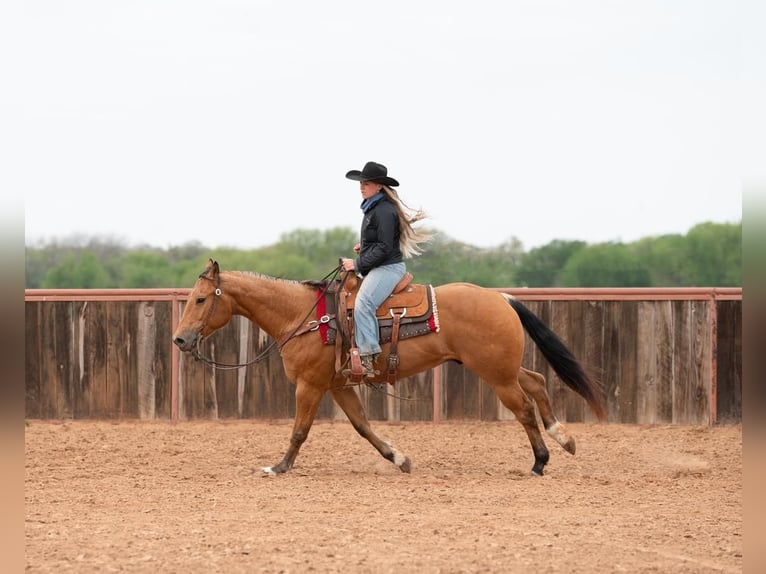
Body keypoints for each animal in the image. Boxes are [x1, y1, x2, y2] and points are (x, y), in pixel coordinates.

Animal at [172, 259, 606, 477]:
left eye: (199, 299)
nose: (180, 340)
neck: (304, 316)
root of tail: (500, 297)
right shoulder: (339, 385)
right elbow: (363, 427)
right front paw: (399, 458)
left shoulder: (310, 385)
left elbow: (299, 430)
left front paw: (279, 466)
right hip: (503, 368)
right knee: (537, 382)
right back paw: (563, 439)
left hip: (495, 374)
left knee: (524, 409)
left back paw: (540, 461)